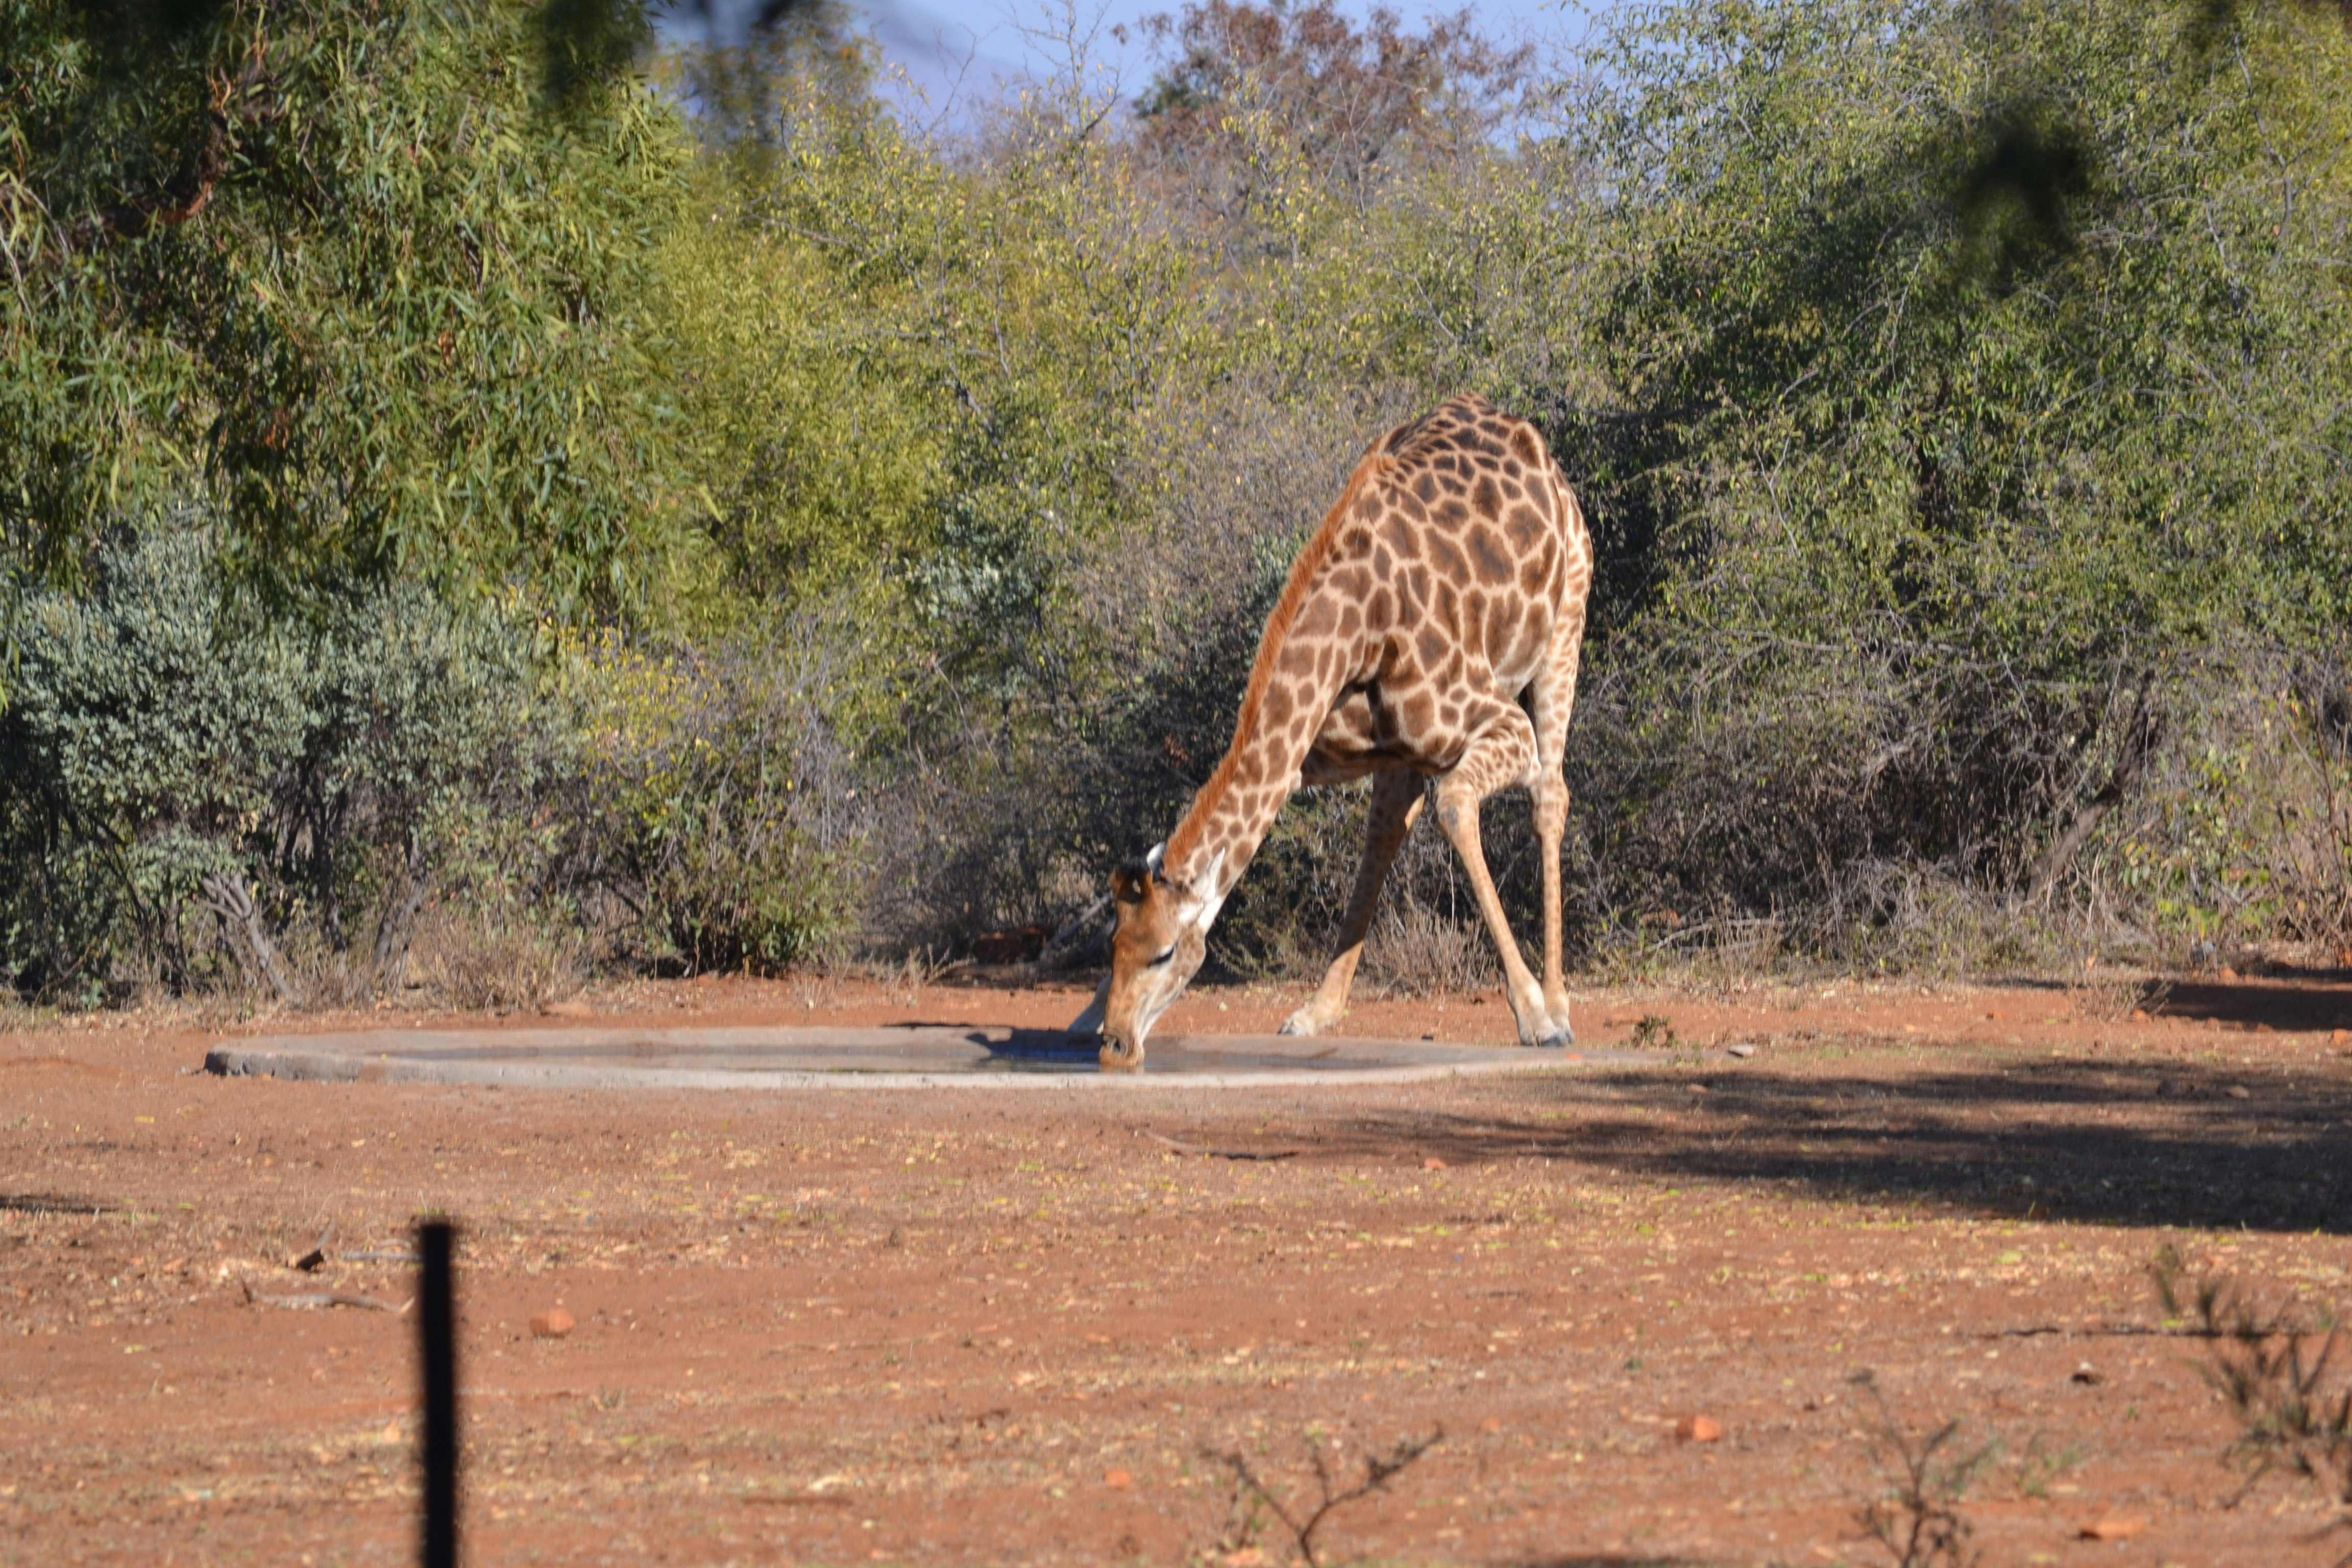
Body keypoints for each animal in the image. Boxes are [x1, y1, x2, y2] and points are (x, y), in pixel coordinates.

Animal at [1068, 394, 1594, 1069]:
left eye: (1165, 953)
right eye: (1114, 941)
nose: (1116, 1046)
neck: (1357, 629)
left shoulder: (1505, 724)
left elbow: (1456, 807)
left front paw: (1533, 1016)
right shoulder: (1305, 754)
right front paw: (1083, 1017)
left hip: (1566, 623)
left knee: (1548, 797)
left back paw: (1558, 1007)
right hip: (1403, 751)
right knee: (1389, 827)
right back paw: (1318, 1010)